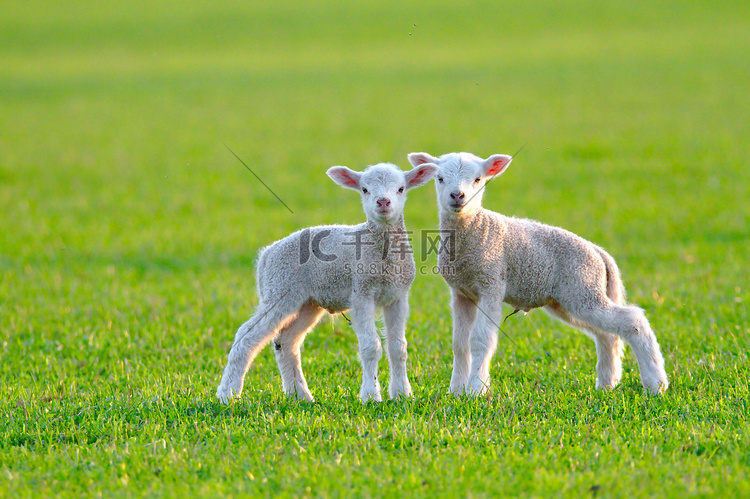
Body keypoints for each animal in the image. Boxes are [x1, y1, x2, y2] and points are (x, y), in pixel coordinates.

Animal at [216, 162, 440, 404]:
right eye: (364, 189)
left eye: (401, 189)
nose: (383, 202)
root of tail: (266, 254)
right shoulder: (362, 292)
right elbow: (371, 346)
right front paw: (371, 396)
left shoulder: (398, 295)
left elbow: (398, 347)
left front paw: (403, 395)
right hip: (279, 289)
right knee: (246, 337)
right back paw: (228, 394)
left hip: (307, 302)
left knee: (286, 342)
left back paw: (300, 395)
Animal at [408, 150, 672, 396]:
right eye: (440, 178)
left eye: (477, 179)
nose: (457, 196)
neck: (475, 228)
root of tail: (600, 253)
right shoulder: (462, 293)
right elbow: (460, 343)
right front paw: (455, 391)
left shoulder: (491, 284)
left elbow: (480, 341)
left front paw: (475, 391)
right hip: (571, 299)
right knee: (606, 334)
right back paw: (606, 384)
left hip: (583, 288)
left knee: (632, 321)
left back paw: (655, 384)